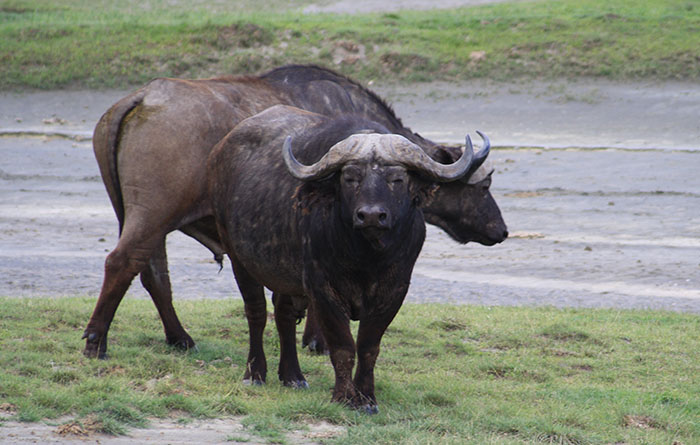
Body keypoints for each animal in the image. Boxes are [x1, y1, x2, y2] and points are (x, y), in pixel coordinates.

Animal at [205, 106, 484, 412]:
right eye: (350, 178)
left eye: (397, 179)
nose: (371, 215)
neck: (366, 258)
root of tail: (220, 152)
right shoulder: (322, 290)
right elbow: (342, 347)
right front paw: (342, 396)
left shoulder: (394, 291)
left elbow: (368, 347)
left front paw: (366, 399)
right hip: (239, 258)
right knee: (256, 312)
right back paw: (255, 374)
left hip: (286, 276)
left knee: (283, 314)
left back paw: (293, 376)